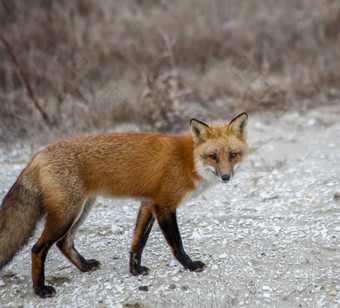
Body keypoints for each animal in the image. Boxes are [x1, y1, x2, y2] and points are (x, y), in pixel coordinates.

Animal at [0, 112, 250, 296]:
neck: (188, 160)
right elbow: (176, 244)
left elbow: (138, 242)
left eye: (233, 155)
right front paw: (189, 265)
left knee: (64, 243)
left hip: (82, 209)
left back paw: (84, 266)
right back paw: (40, 290)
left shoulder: (149, 203)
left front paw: (135, 270)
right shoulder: (165, 205)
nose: (226, 177)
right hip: (67, 214)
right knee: (38, 248)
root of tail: (38, 155)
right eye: (213, 157)